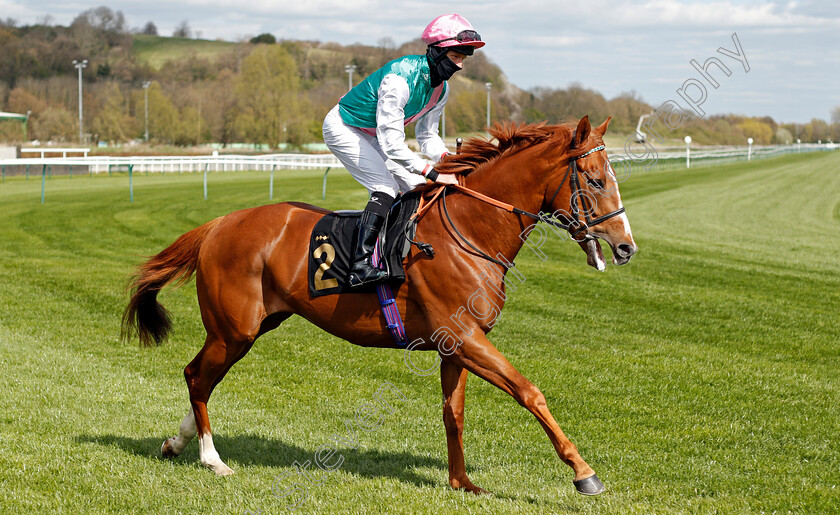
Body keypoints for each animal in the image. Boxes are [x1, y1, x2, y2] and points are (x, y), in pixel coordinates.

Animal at [123, 116, 636, 496]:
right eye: (594, 181)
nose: (626, 247)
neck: (470, 230)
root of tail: (217, 224)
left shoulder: (456, 345)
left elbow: (454, 412)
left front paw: (461, 482)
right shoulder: (466, 337)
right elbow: (530, 392)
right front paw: (584, 473)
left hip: (253, 327)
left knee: (203, 378)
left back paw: (177, 442)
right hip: (235, 328)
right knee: (196, 376)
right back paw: (213, 459)